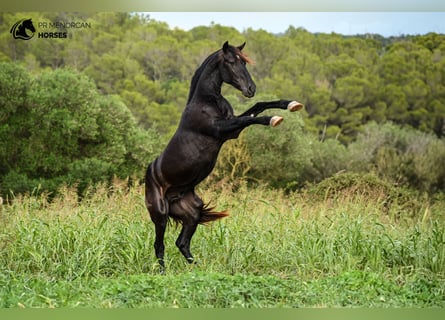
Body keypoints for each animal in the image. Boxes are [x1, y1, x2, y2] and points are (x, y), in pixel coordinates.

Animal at [145, 41, 302, 272]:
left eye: (243, 62)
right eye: (231, 62)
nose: (250, 89)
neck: (207, 101)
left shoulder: (231, 130)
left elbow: (257, 107)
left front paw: (291, 104)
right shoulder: (223, 129)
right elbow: (251, 117)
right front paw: (274, 119)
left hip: (192, 212)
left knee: (182, 243)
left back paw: (200, 269)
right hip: (160, 214)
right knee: (159, 245)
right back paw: (165, 273)